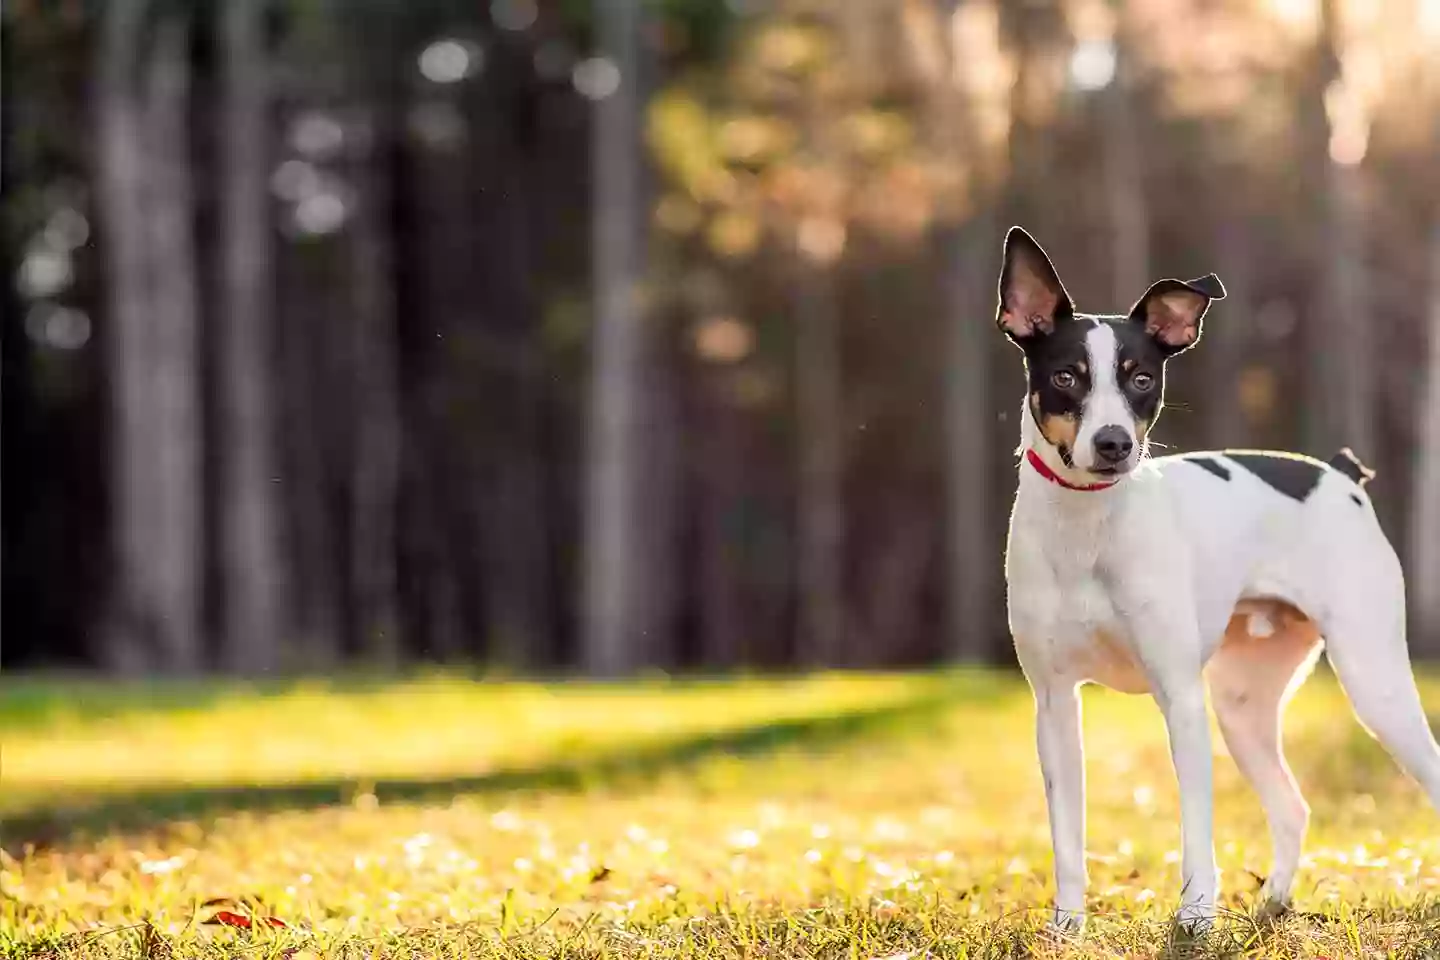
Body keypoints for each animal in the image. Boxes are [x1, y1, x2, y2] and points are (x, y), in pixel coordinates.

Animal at [996, 227, 1440, 938]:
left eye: (1142, 379)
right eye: (1066, 376)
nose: (1115, 443)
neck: (1089, 528)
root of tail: (1340, 477)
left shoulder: (1180, 698)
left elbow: (1196, 828)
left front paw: (1197, 917)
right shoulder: (1054, 704)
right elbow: (1067, 836)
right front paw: (1067, 926)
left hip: (1375, 682)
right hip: (1243, 706)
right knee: (1292, 807)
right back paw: (1274, 905)